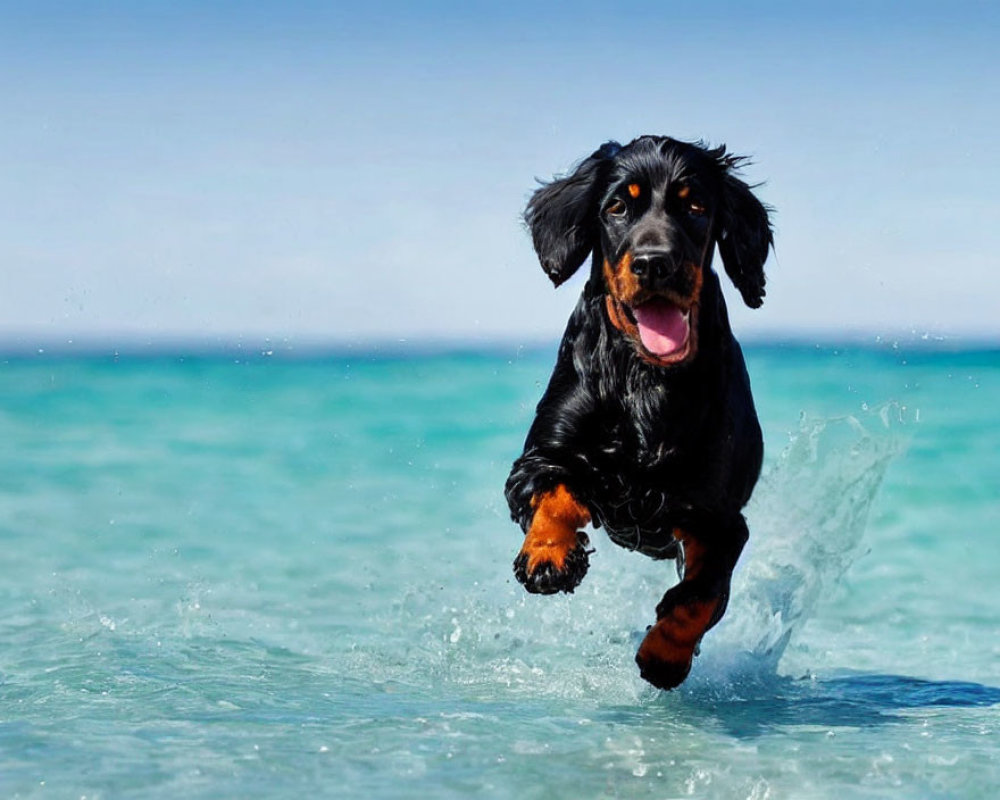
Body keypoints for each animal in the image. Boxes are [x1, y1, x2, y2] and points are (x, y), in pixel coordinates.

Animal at [508, 136, 772, 688]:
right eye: (616, 207)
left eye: (696, 207)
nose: (655, 263)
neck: (645, 378)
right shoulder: (541, 456)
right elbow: (554, 494)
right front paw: (548, 556)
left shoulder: (718, 516)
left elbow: (701, 594)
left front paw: (664, 655)